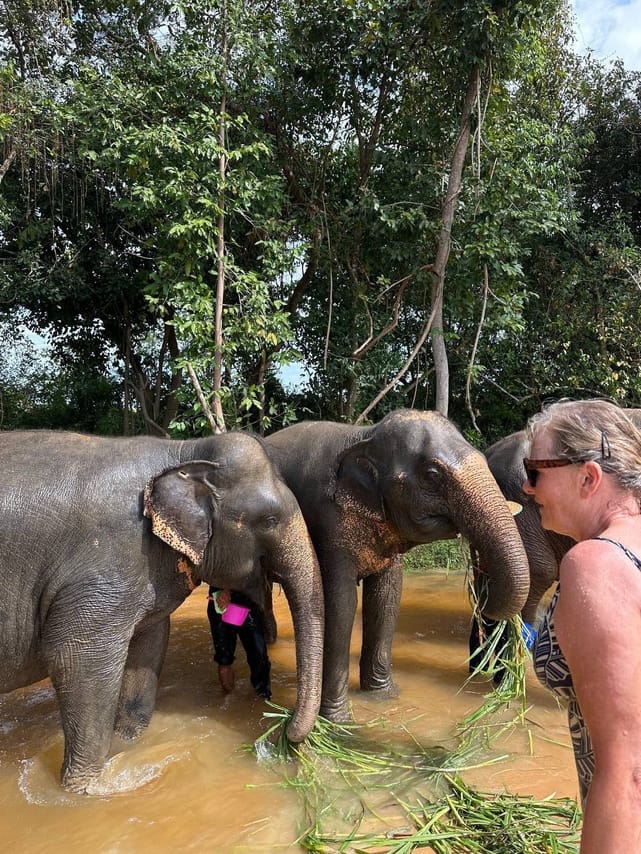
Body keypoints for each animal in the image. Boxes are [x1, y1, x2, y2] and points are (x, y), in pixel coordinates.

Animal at [0, 429, 323, 793]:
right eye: (269, 520)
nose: (285, 728)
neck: (184, 452)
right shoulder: (103, 569)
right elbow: (76, 659)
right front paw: (82, 791)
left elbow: (148, 645)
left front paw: (125, 749)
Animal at [263, 408, 530, 722]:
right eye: (432, 475)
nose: (483, 598)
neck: (365, 435)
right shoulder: (329, 522)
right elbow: (341, 604)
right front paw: (337, 721)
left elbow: (387, 597)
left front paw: (382, 698)